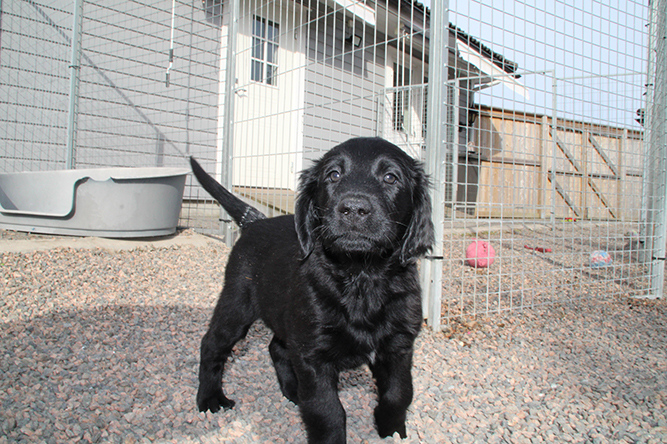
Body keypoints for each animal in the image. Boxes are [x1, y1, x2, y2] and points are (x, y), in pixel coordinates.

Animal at [191, 137, 434, 443]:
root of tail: (256, 220)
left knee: (277, 347)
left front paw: (392, 431)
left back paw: (293, 391)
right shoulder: (313, 354)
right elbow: (326, 410)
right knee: (212, 345)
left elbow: (399, 394)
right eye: (334, 175)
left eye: (391, 177)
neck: (361, 277)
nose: (354, 209)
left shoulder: (399, 346)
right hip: (237, 304)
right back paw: (210, 398)